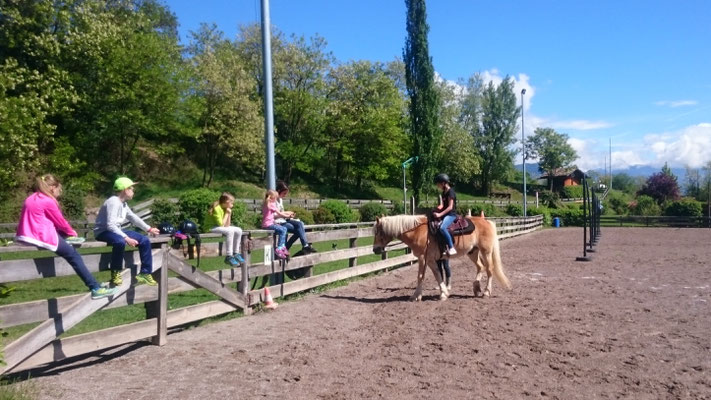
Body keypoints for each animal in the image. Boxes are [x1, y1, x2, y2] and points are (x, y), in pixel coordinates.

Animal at [372, 214, 512, 298]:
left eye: (378, 232)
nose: (375, 249)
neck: (417, 231)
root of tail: (487, 221)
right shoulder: (430, 259)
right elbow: (438, 275)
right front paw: (444, 293)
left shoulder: (422, 258)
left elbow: (420, 276)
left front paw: (416, 295)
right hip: (473, 252)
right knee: (480, 267)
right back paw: (476, 288)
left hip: (486, 251)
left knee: (489, 269)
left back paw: (486, 291)